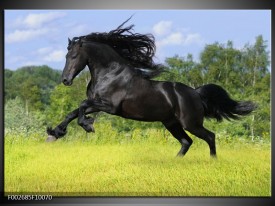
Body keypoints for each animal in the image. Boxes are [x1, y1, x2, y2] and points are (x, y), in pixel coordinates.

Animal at [47, 19, 256, 158]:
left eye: (74, 56)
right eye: (66, 56)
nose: (65, 80)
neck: (110, 74)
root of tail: (195, 93)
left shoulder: (110, 107)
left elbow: (82, 106)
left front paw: (88, 125)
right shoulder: (97, 103)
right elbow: (73, 112)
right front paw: (55, 133)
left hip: (190, 123)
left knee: (210, 137)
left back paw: (212, 161)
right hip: (171, 123)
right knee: (187, 142)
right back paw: (175, 162)